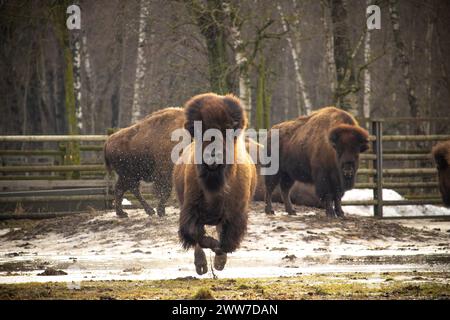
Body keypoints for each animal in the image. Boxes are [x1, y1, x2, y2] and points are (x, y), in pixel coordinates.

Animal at [173, 92, 256, 276]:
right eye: (200, 130)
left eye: (226, 130)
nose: (213, 155)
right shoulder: (190, 209)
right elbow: (196, 235)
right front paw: (213, 248)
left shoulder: (235, 214)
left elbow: (226, 241)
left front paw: (219, 259)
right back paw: (202, 266)